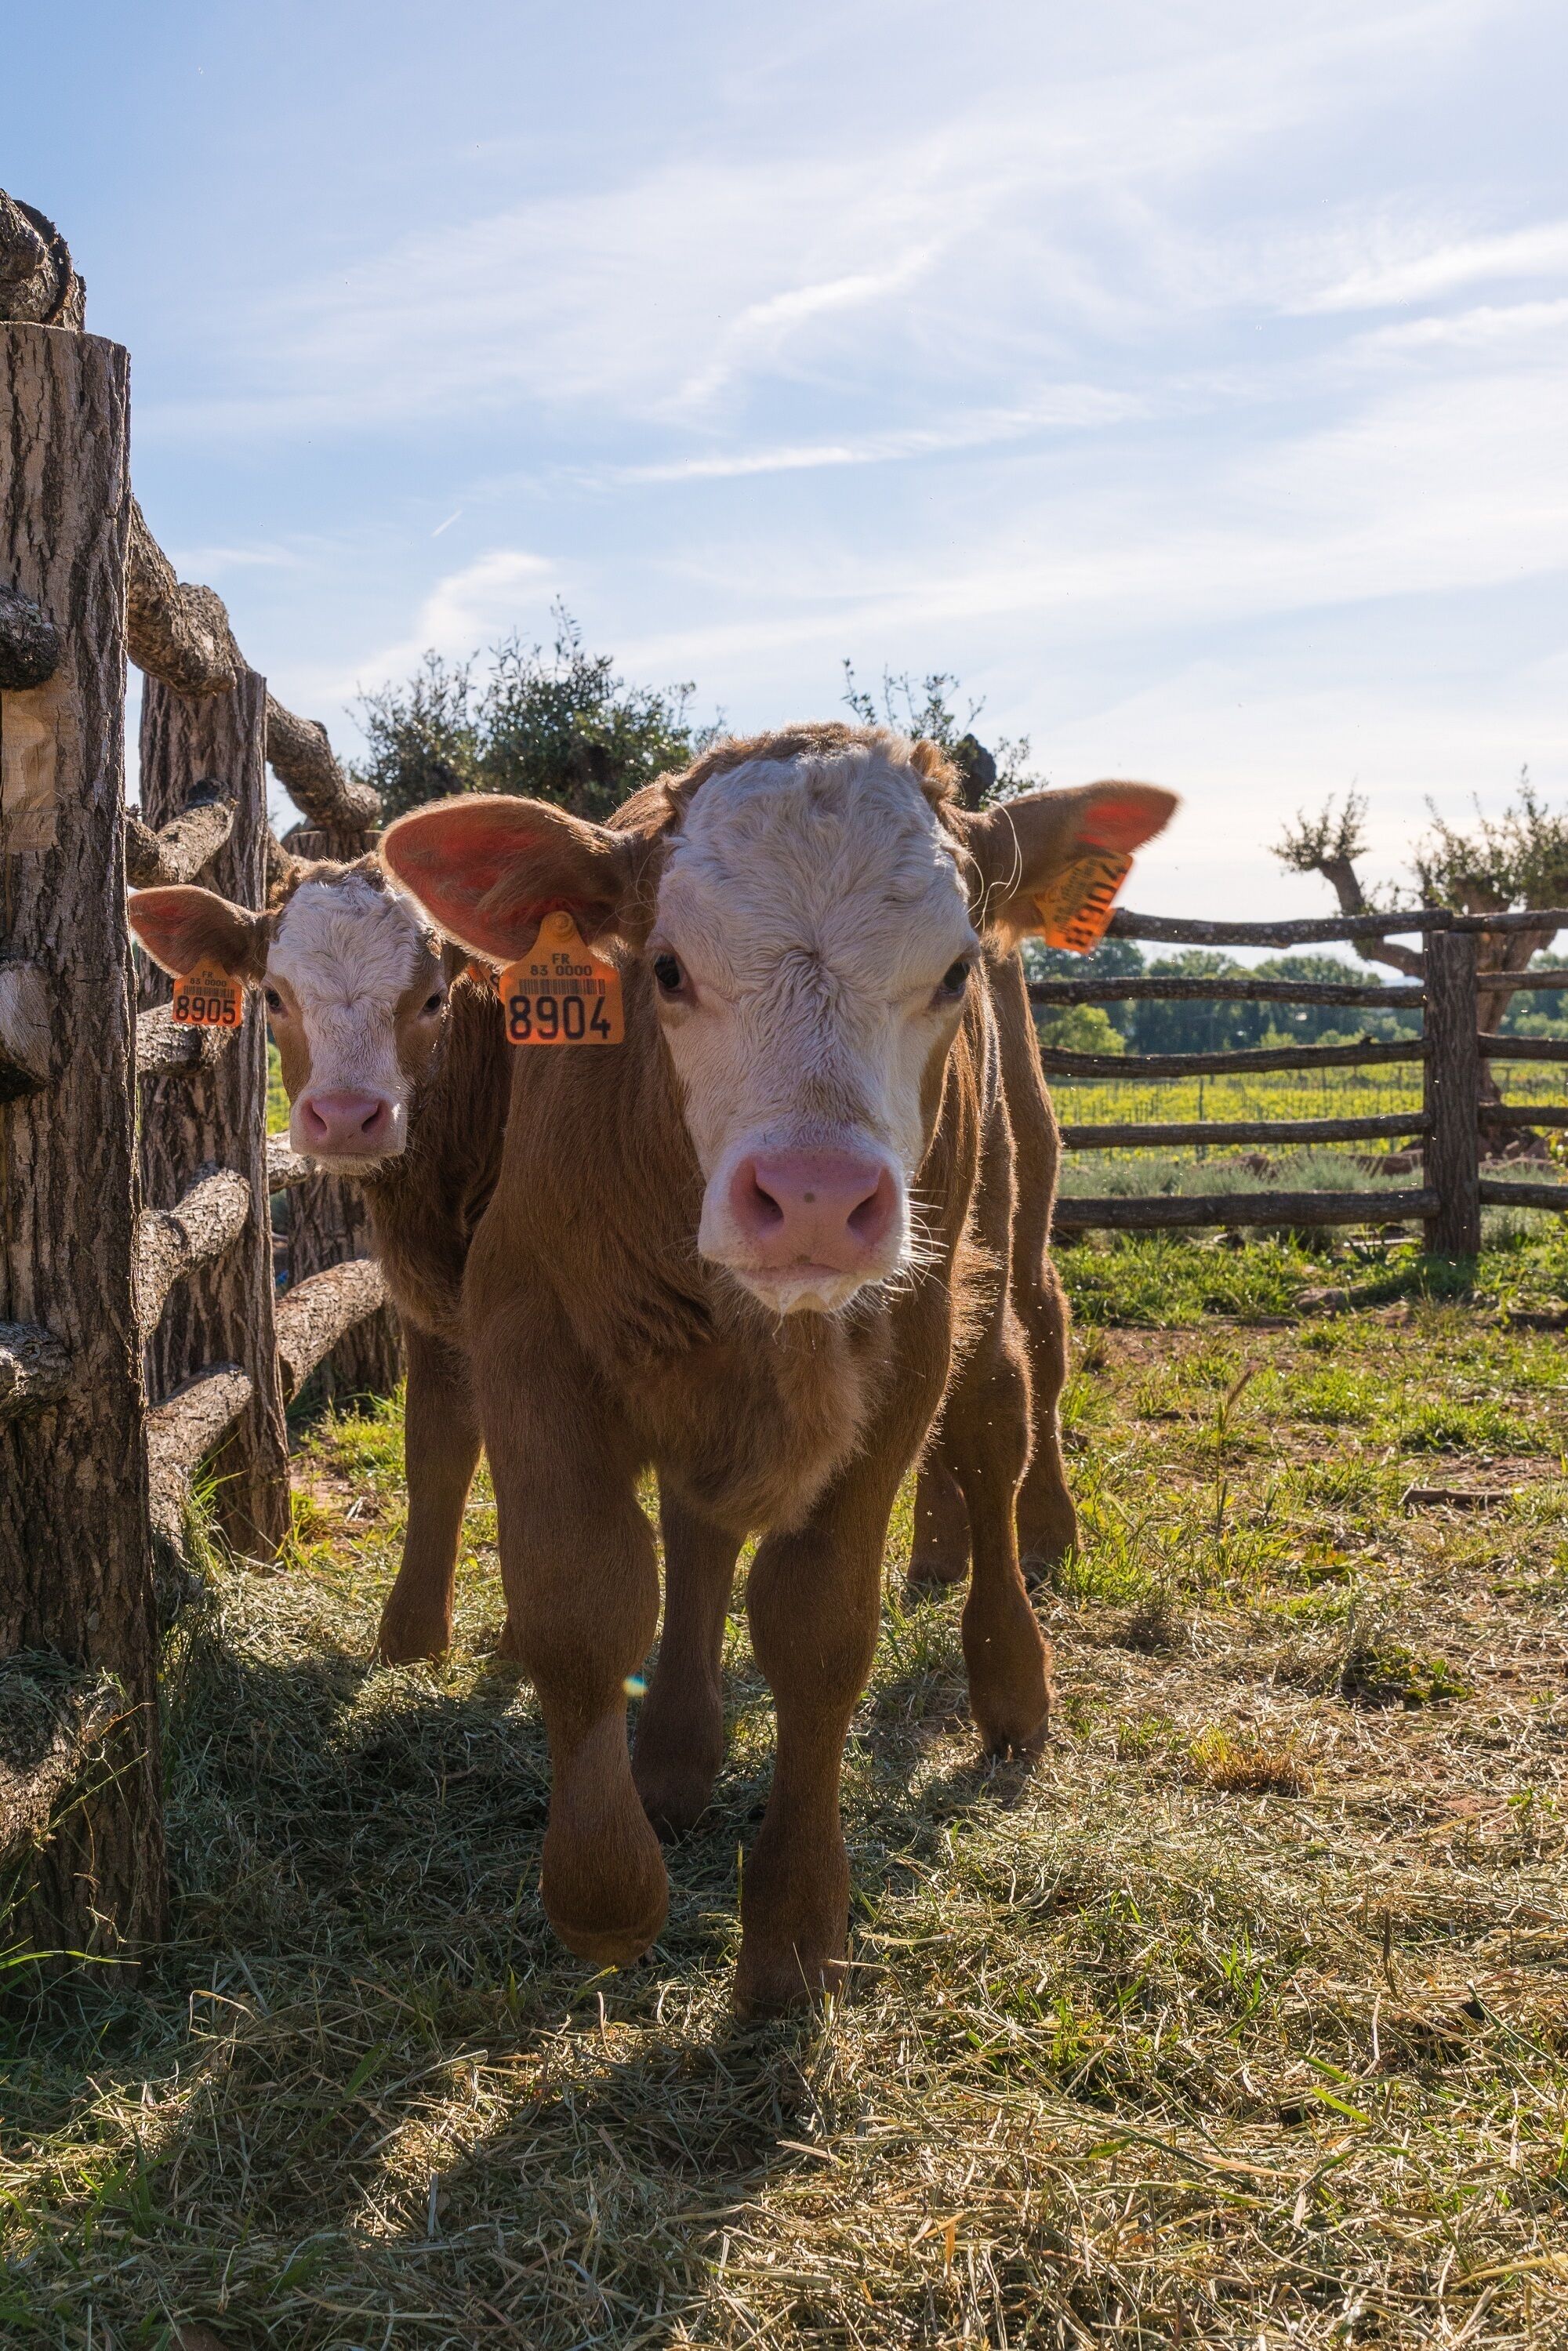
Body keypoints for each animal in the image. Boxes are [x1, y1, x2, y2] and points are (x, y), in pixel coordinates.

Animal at [127, 860, 510, 1665]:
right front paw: (412, 1637)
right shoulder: (429, 1290)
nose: (343, 1117)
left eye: (434, 997)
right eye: (273, 995)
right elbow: (439, 1441)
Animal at [381, 724, 1175, 2012]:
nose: (811, 1196)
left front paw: (796, 1926)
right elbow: (582, 1603)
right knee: (700, 1530)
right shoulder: (525, 1322)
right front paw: (608, 1887)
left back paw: (1011, 1679)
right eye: (662, 968)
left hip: (1001, 1238)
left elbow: (817, 1632)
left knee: (1001, 1426)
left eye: (951, 970)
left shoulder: (902, 1353)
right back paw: (675, 1758)